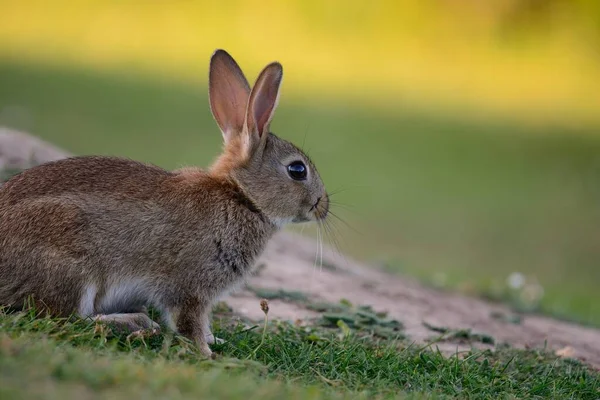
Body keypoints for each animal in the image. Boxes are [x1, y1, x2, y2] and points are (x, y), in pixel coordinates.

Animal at [0, 48, 328, 358]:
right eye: (297, 170)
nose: (323, 205)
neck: (241, 196)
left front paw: (216, 341)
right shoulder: (189, 286)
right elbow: (189, 321)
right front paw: (207, 354)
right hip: (70, 267)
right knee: (64, 317)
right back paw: (136, 323)